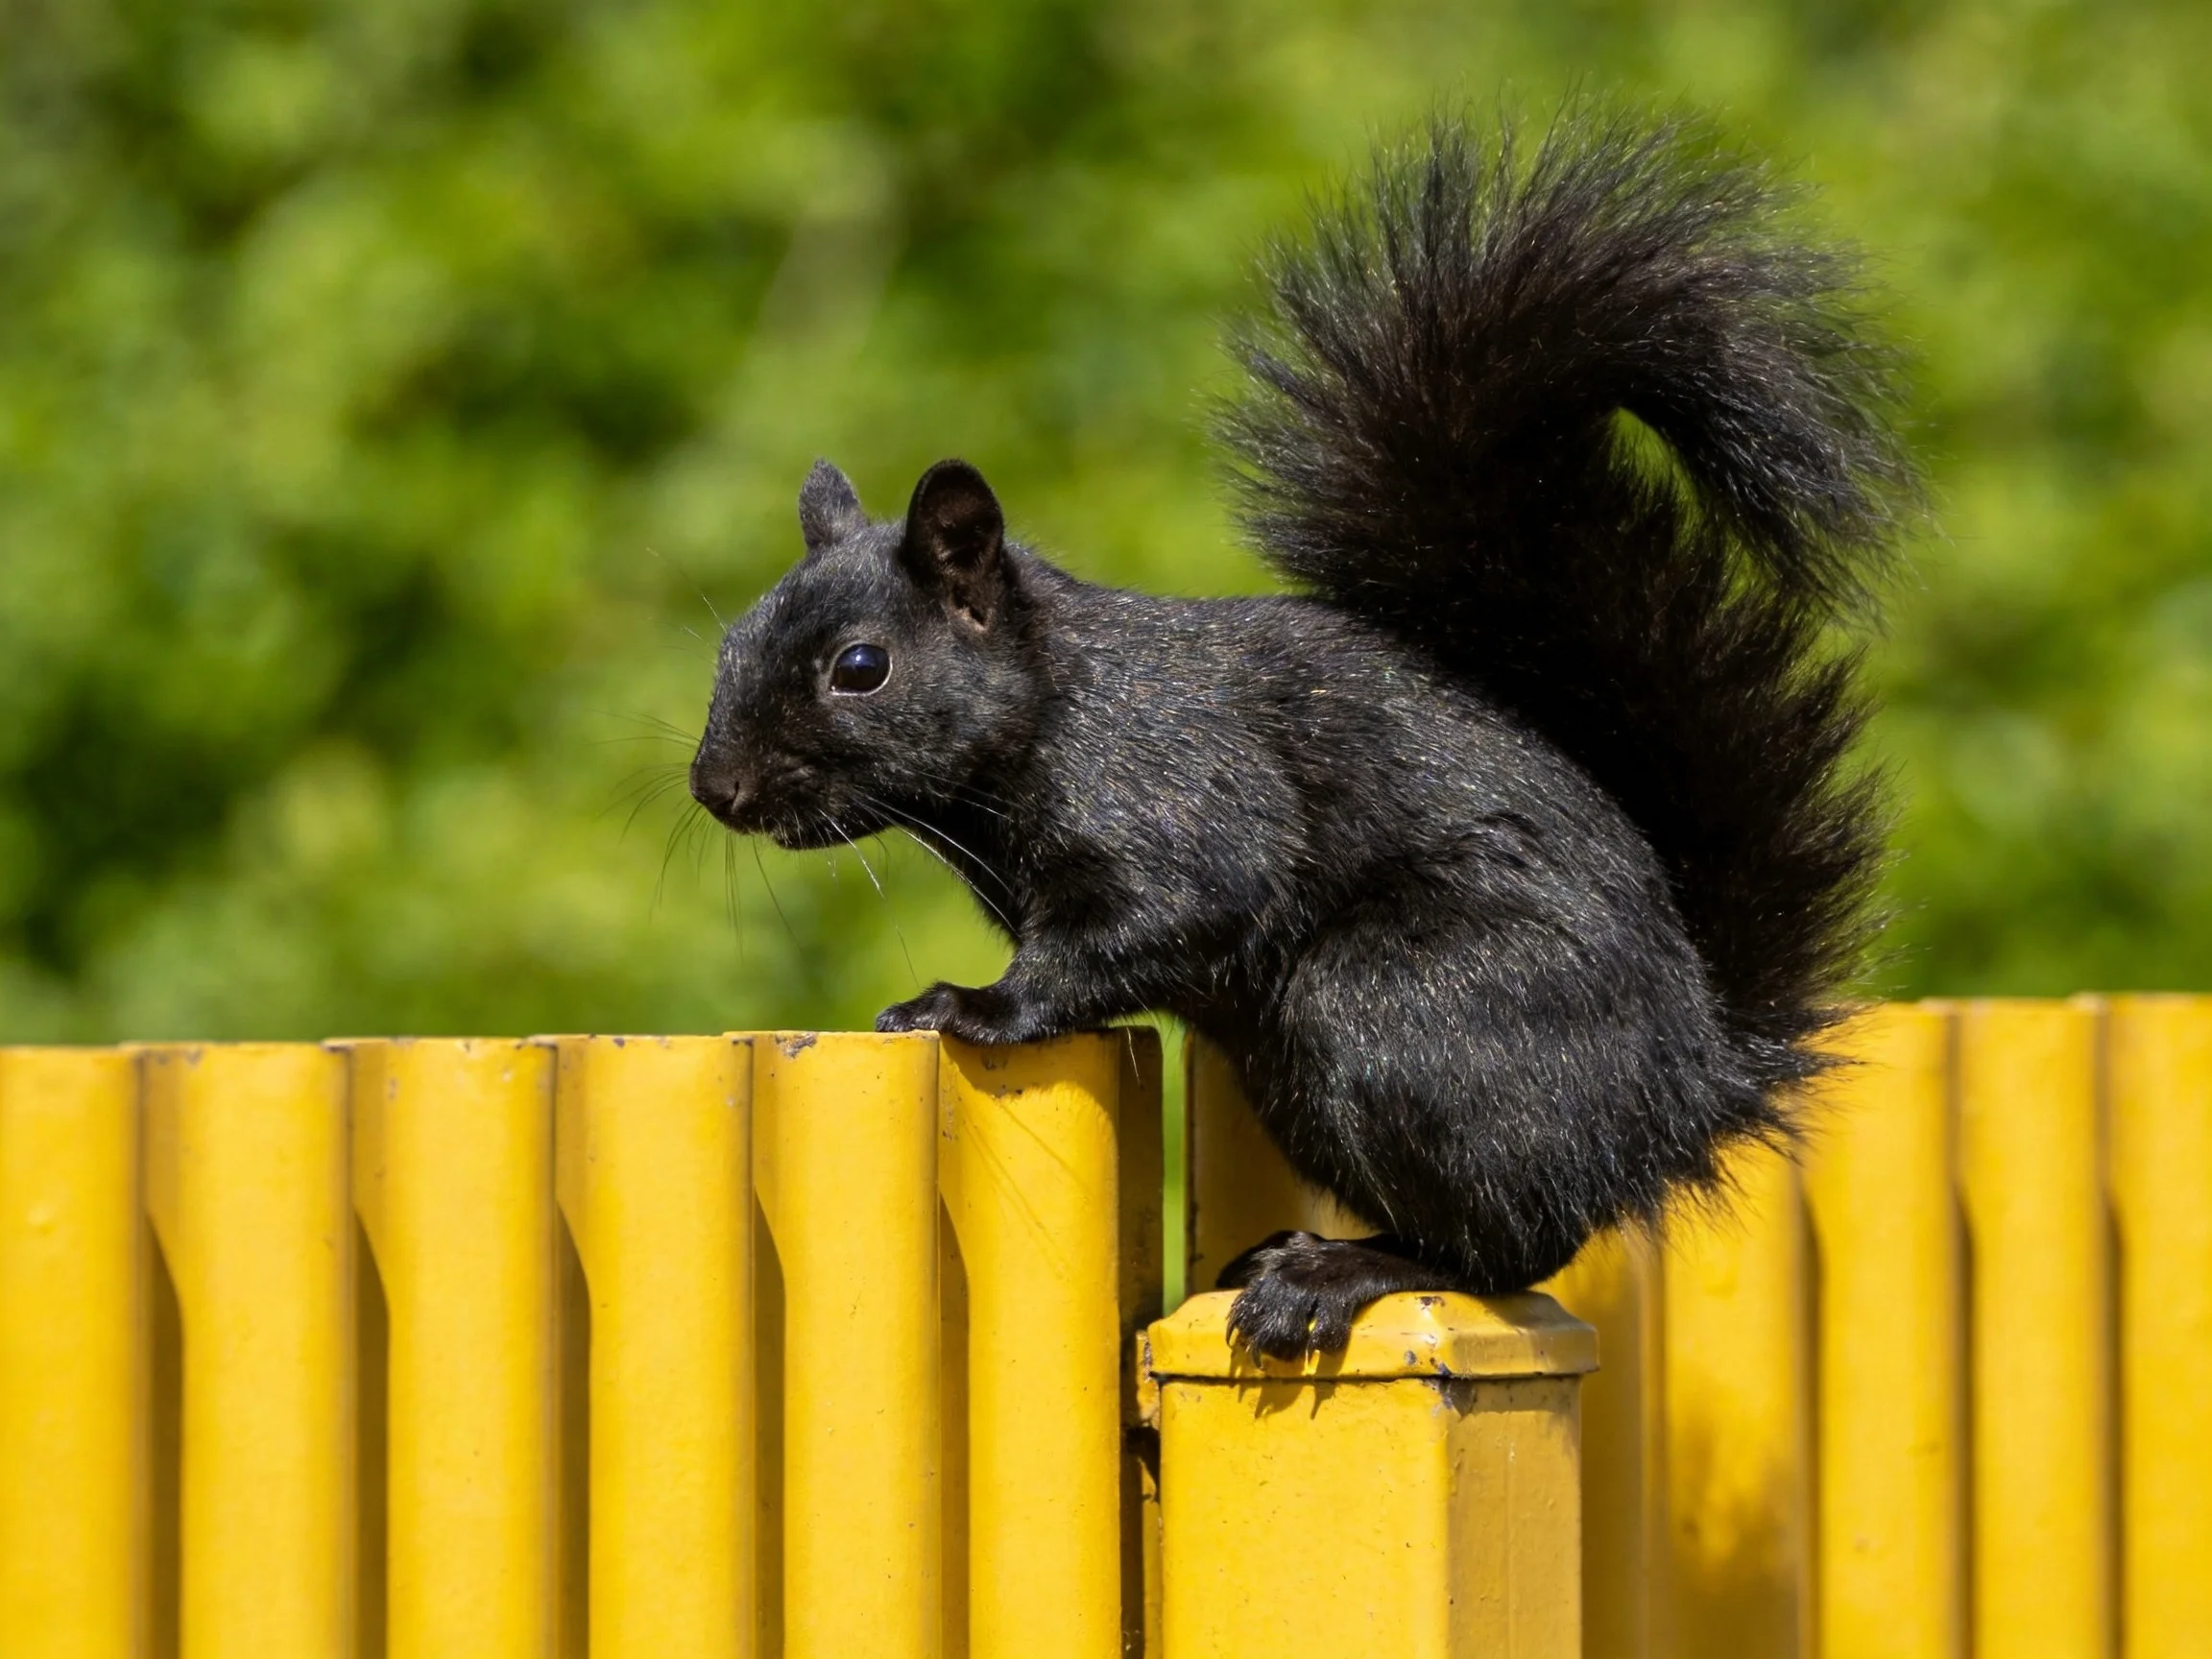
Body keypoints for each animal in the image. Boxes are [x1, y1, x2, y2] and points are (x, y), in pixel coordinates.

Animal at [689, 112, 1912, 1360]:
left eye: (860, 668)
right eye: (733, 639)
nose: (716, 788)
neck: (1051, 714)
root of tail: (1689, 1086)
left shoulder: (1179, 804)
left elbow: (1123, 937)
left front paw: (966, 1006)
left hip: (1392, 1008)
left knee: (1513, 1244)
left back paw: (1340, 1271)